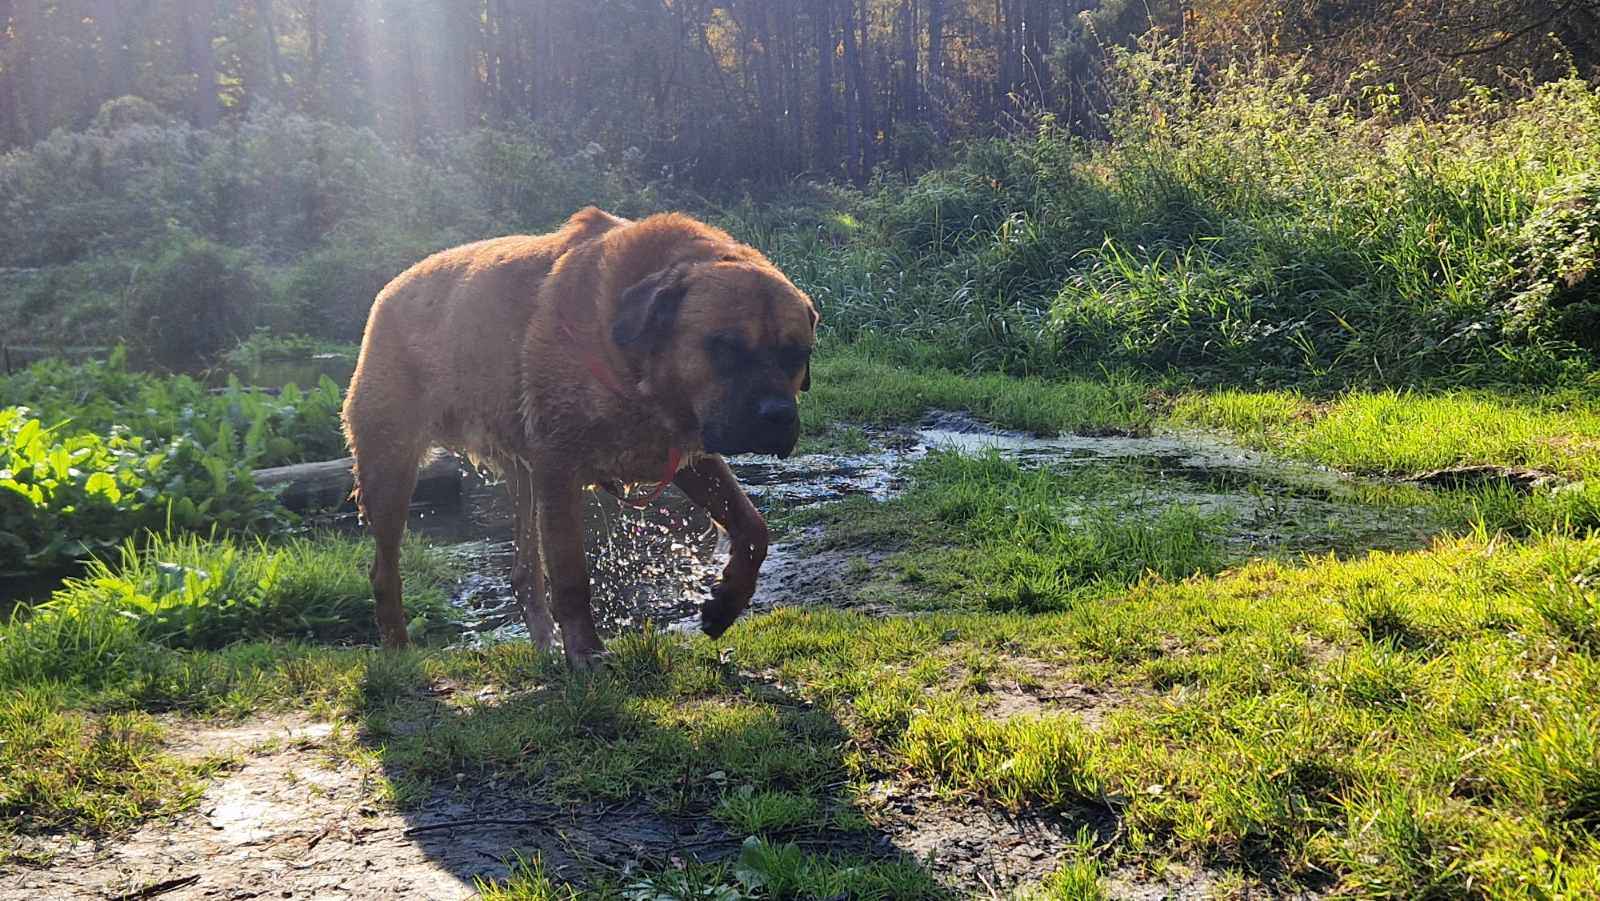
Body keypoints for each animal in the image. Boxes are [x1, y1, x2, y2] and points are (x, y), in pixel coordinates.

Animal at [336, 208, 812, 665]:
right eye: (724, 347)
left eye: (798, 354)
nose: (777, 415)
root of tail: (388, 291)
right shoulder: (559, 470)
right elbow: (570, 575)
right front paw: (585, 652)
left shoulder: (682, 456)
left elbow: (753, 527)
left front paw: (726, 602)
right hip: (390, 468)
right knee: (384, 571)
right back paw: (399, 652)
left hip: (522, 479)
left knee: (523, 572)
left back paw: (545, 644)